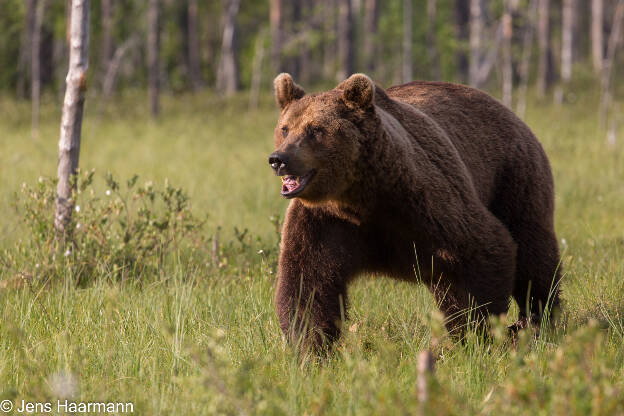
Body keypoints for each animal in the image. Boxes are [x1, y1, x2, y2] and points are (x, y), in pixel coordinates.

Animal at [266, 72, 560, 348]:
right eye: (285, 128)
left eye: (315, 129)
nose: (279, 159)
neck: (362, 197)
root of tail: (505, 109)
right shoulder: (326, 222)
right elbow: (307, 282)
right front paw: (310, 345)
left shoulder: (427, 206)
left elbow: (485, 251)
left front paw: (477, 332)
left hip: (513, 177)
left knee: (533, 251)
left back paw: (537, 321)